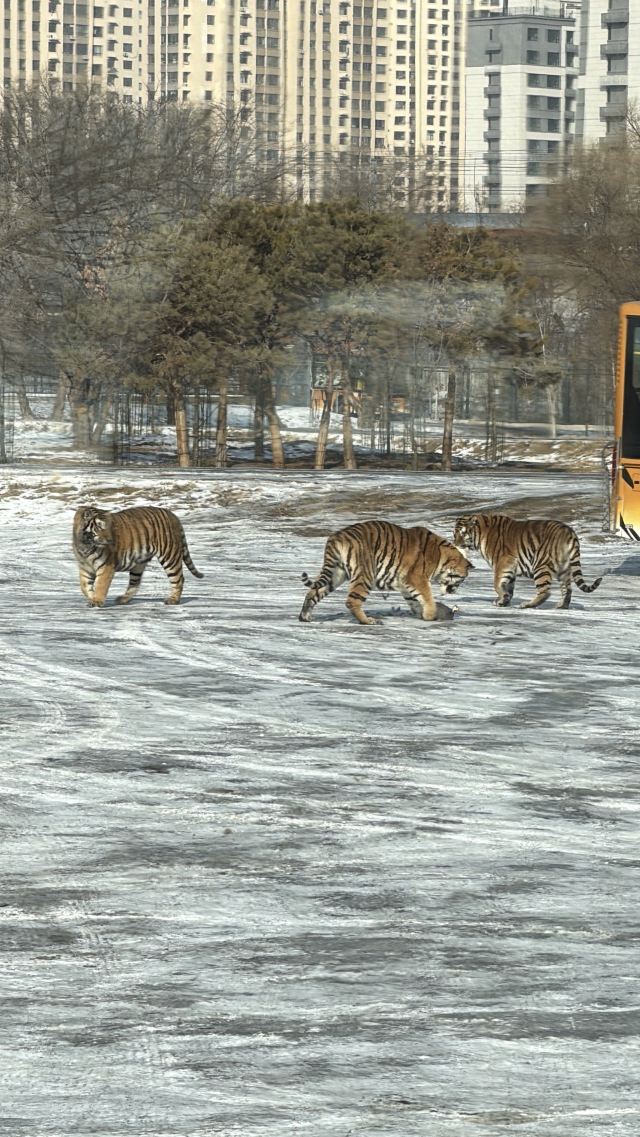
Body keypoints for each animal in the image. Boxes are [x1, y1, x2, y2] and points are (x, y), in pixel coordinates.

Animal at [72, 505, 203, 607]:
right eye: (99, 526)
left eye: (110, 527)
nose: (110, 540)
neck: (86, 545)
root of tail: (172, 515)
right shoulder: (85, 567)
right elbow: (84, 586)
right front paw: (91, 598)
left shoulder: (106, 567)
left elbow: (100, 585)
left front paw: (97, 601)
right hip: (139, 564)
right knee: (135, 583)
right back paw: (123, 599)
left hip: (169, 556)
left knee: (179, 578)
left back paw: (173, 600)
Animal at [299, 520, 474, 625]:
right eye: (462, 578)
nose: (453, 591)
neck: (441, 556)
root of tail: (337, 537)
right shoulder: (417, 578)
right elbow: (427, 597)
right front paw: (431, 615)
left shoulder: (406, 585)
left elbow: (416, 601)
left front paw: (423, 614)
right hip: (365, 574)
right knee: (352, 601)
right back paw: (368, 621)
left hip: (335, 573)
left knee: (313, 591)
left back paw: (304, 617)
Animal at [453, 513, 602, 610]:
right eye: (455, 534)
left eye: (463, 533)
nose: (456, 543)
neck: (480, 534)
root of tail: (569, 532)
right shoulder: (510, 567)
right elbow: (508, 587)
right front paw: (504, 601)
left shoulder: (503, 562)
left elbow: (497, 583)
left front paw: (501, 599)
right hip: (564, 568)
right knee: (568, 589)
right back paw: (562, 605)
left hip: (540, 564)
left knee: (545, 591)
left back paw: (527, 605)